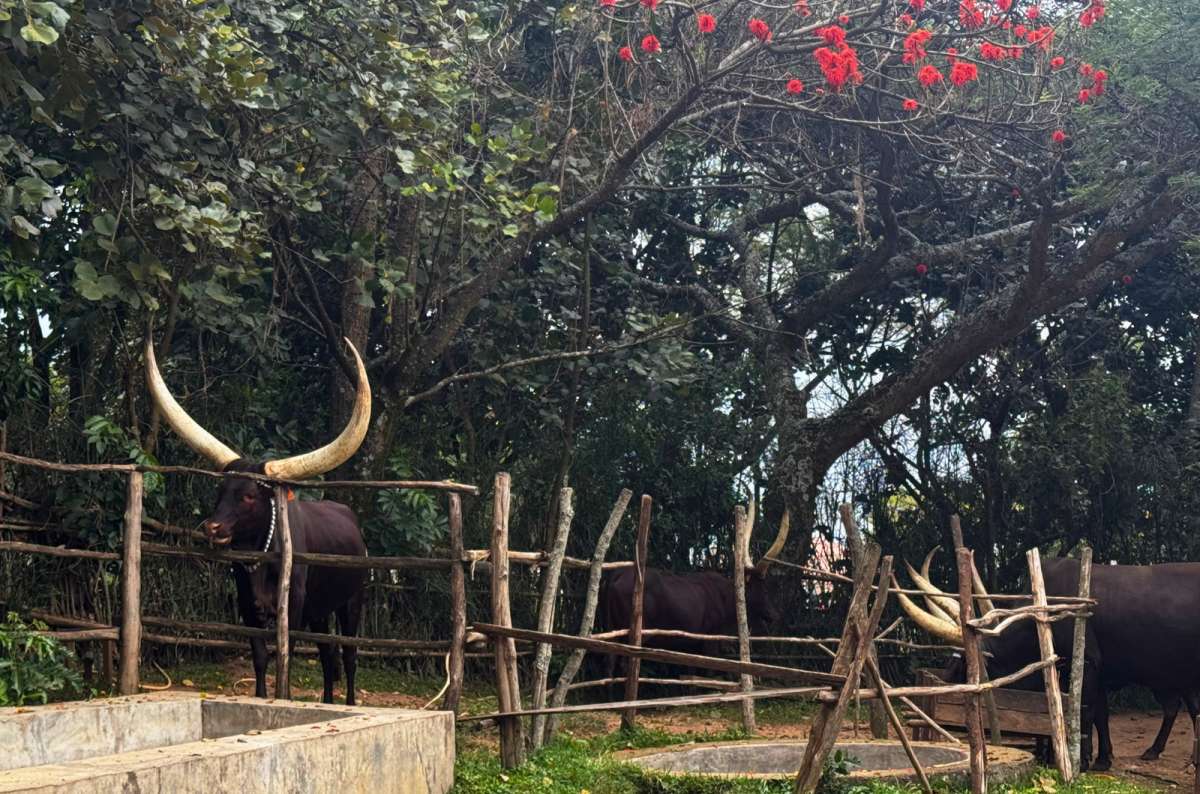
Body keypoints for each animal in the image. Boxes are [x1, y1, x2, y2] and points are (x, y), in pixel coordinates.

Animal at [146, 337, 371, 705]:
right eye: (221, 490)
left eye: (250, 495)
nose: (213, 528)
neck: (262, 559)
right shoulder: (247, 607)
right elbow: (261, 658)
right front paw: (261, 696)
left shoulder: (293, 608)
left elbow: (286, 657)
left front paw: (283, 698)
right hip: (321, 611)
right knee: (327, 655)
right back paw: (326, 701)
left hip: (352, 601)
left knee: (349, 656)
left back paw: (349, 702)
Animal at [597, 507, 790, 683]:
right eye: (764, 588)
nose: (775, 615)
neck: (727, 597)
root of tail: (616, 575)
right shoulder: (710, 640)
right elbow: (709, 673)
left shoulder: (690, 644)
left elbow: (690, 675)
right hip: (634, 634)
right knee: (624, 664)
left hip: (610, 628)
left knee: (608, 664)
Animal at [898, 554, 1200, 771]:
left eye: (965, 666)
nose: (939, 692)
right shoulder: (1095, 674)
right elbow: (1099, 715)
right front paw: (1102, 758)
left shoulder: (1088, 665)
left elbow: (1085, 713)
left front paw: (1083, 760)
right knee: (1181, 708)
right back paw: (1159, 751)